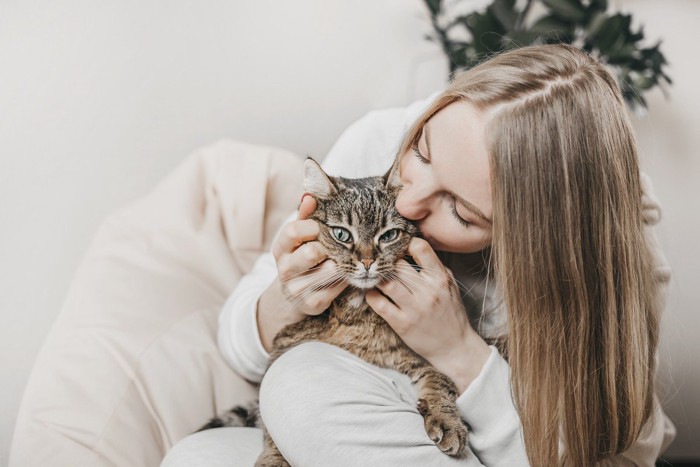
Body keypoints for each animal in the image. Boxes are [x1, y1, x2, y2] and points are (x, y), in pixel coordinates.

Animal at [205, 159, 468, 466]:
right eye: (342, 234)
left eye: (389, 235)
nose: (367, 261)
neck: (357, 311)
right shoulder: (282, 349)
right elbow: (270, 423)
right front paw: (273, 458)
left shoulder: (423, 357)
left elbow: (440, 384)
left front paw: (448, 423)